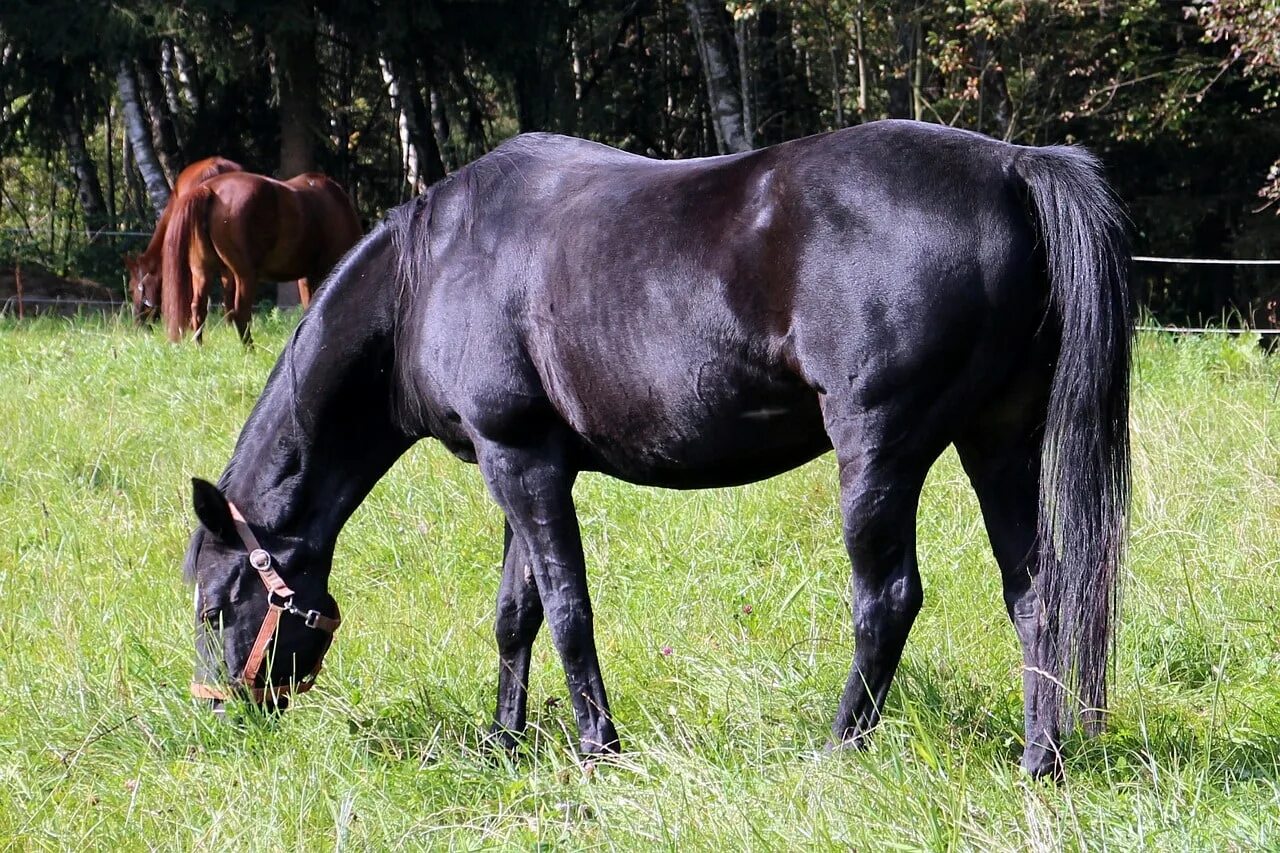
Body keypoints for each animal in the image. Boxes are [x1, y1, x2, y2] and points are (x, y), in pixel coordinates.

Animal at [161, 169, 360, 343]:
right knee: (240, 313)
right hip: (245, 275)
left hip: (202, 271)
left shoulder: (306, 277)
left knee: (199, 309)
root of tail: (209, 188)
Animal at [183, 119, 1131, 778]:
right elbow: (517, 613)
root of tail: (1012, 167)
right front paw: (502, 740)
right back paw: (1039, 759)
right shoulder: (519, 463)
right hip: (998, 442)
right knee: (1035, 590)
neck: (430, 272)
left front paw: (596, 745)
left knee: (887, 601)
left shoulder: (522, 463)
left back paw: (837, 749)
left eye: (215, 605)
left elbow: (568, 608)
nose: (222, 712)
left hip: (879, 454)